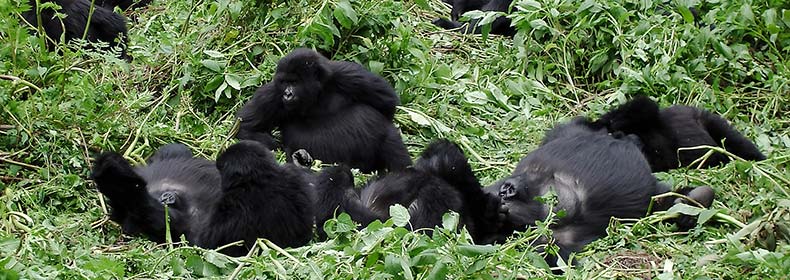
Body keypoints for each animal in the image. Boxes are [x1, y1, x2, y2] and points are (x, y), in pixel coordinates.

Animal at [237, 48, 412, 175]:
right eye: (284, 82)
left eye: (294, 82)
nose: (287, 94)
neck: (317, 94)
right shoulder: (272, 93)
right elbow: (245, 129)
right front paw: (293, 156)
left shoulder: (347, 73)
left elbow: (386, 102)